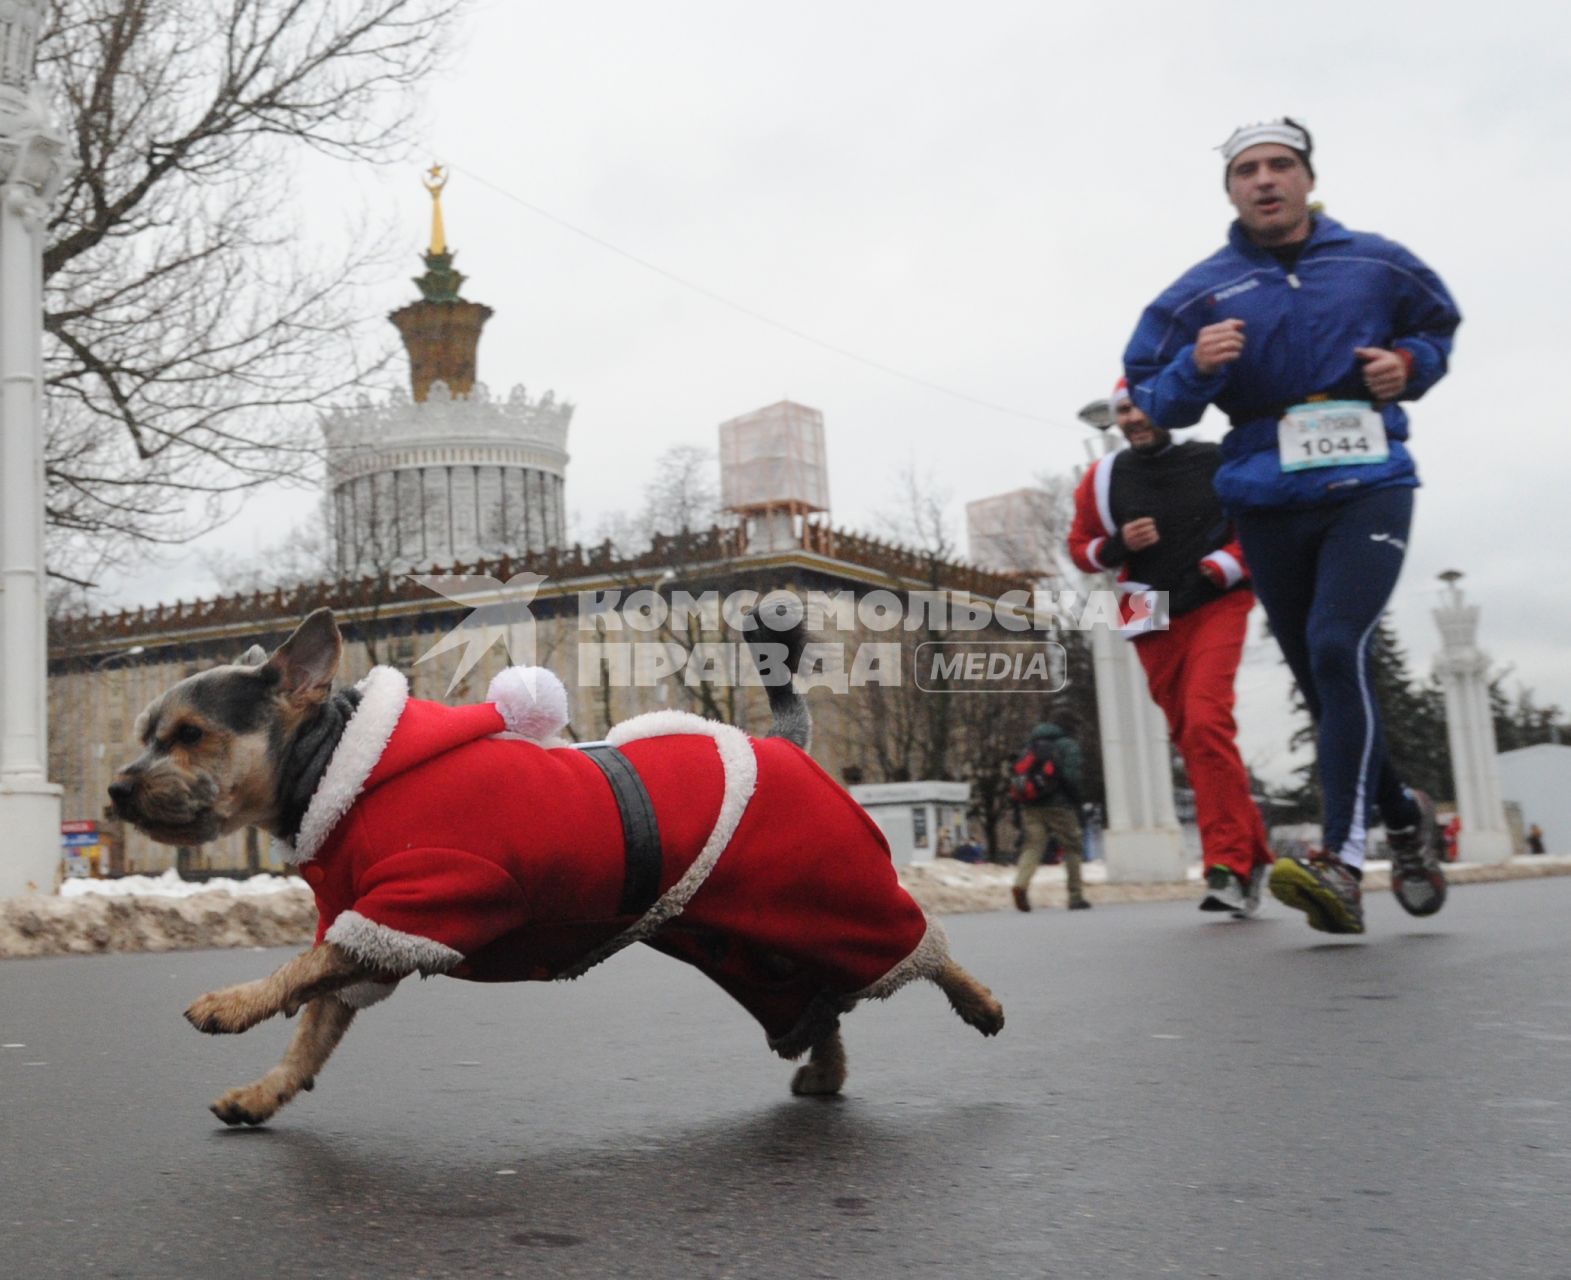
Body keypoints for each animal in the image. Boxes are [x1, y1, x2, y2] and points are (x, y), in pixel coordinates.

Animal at [107, 606, 1005, 1124]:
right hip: (746, 946)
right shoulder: (370, 932)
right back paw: (824, 1070)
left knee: (924, 949)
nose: (117, 788)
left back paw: (981, 1003)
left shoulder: (426, 901)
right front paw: (264, 1092)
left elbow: (296, 970)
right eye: (146, 732)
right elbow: (313, 1031)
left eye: (188, 735)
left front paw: (231, 1002)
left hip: (834, 889)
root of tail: (779, 743)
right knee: (822, 1003)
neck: (337, 772)